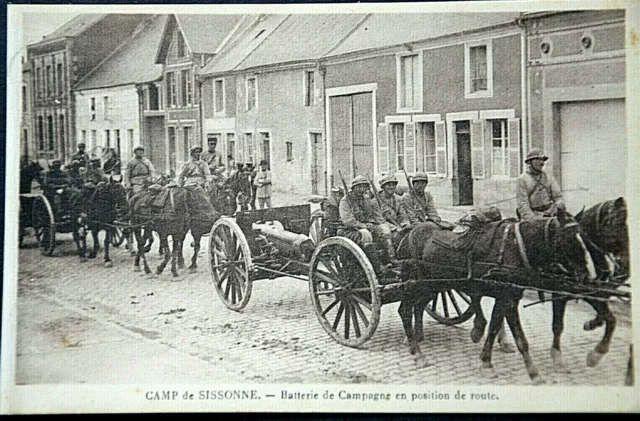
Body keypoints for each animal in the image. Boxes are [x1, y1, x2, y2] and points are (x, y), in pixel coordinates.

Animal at [398, 208, 596, 382]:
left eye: (584, 237)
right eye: (569, 239)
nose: (589, 276)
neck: (515, 247)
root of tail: (408, 233)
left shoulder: (510, 297)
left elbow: (506, 331)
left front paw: (529, 370)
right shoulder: (505, 297)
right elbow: (504, 331)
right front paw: (490, 364)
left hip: (433, 286)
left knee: (418, 306)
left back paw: (417, 337)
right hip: (413, 284)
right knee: (405, 311)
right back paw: (417, 353)